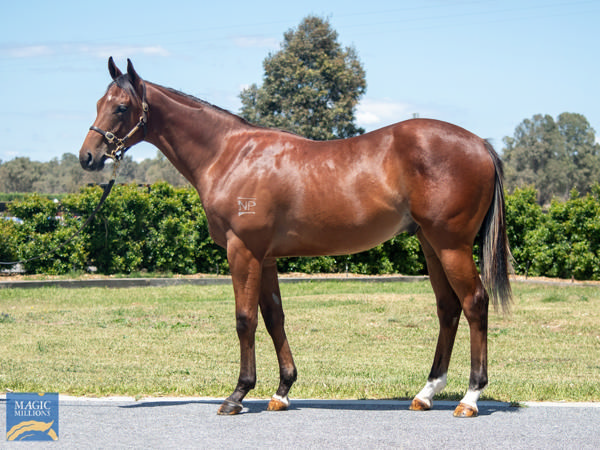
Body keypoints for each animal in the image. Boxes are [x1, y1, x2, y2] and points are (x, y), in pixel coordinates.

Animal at [78, 59, 510, 418]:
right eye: (99, 101)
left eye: (120, 107)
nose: (88, 157)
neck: (230, 155)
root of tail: (480, 144)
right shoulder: (265, 256)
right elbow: (274, 318)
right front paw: (282, 391)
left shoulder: (243, 251)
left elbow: (245, 319)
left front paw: (237, 395)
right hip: (431, 245)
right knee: (447, 308)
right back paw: (426, 393)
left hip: (451, 245)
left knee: (474, 302)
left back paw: (470, 398)